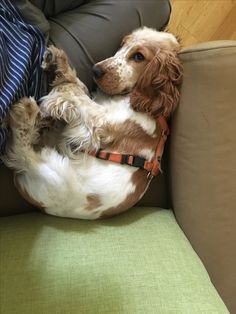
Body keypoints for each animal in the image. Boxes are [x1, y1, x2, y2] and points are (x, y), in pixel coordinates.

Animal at [2, 27, 183, 218]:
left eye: (139, 56)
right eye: (123, 44)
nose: (95, 70)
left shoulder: (99, 125)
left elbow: (78, 96)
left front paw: (59, 92)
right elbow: (80, 88)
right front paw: (60, 65)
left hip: (56, 175)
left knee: (23, 152)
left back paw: (26, 112)